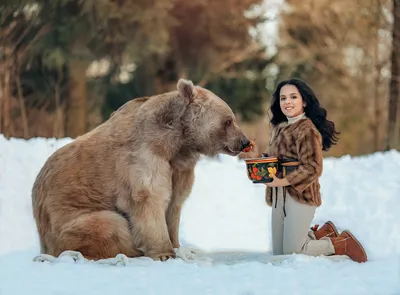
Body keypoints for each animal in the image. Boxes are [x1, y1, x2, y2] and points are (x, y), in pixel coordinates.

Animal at [32, 78, 250, 262]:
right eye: (228, 121)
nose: (244, 141)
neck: (176, 144)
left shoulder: (178, 169)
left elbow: (175, 204)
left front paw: (177, 245)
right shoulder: (143, 156)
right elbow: (149, 198)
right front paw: (164, 253)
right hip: (68, 218)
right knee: (109, 225)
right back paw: (128, 250)